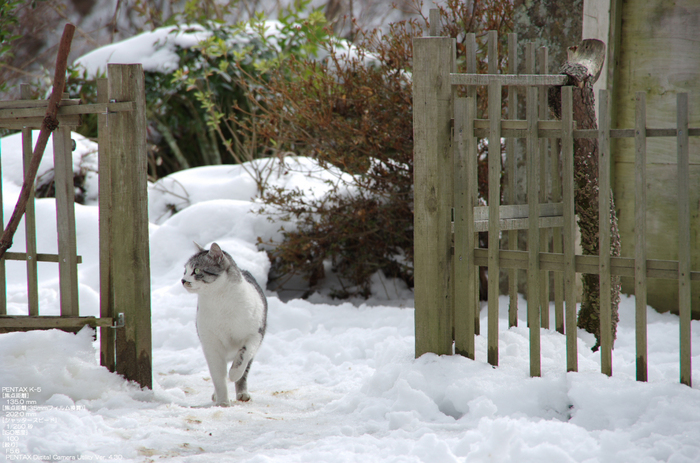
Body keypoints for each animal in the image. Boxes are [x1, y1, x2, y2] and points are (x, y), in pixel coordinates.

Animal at [180, 243, 268, 406]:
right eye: (185, 271)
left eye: (196, 270)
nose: (183, 280)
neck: (219, 301)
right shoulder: (211, 344)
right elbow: (218, 376)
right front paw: (222, 403)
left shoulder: (255, 334)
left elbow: (243, 355)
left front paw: (234, 374)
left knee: (245, 369)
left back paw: (242, 392)